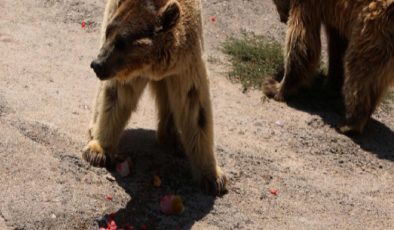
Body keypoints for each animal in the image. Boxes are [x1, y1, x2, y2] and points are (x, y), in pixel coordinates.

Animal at [82, 0, 228, 196]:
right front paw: (98, 151)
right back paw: (93, 127)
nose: (97, 64)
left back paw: (173, 139)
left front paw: (214, 178)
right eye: (108, 33)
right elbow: (116, 95)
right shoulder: (125, 70)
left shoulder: (186, 64)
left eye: (122, 42)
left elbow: (195, 107)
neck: (152, 66)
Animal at [264, 0, 394, 135]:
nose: (282, 19)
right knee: (373, 79)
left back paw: (349, 124)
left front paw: (275, 87)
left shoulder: (308, 5)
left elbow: (301, 38)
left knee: (359, 71)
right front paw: (331, 85)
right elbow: (337, 45)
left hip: (374, 28)